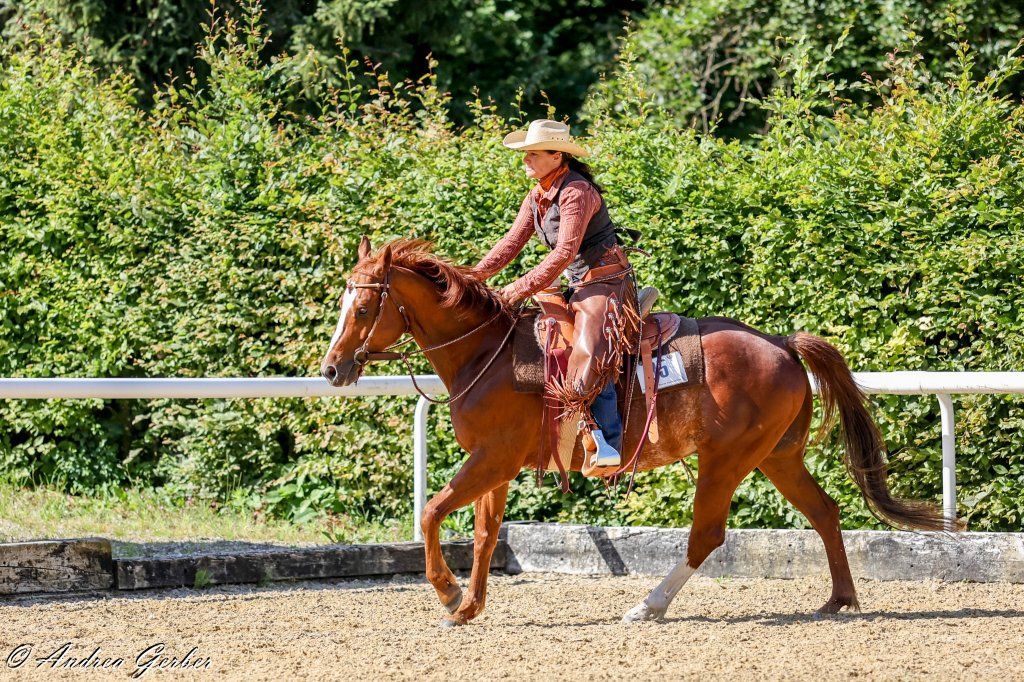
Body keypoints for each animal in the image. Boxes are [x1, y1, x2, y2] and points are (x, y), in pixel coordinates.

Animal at [320, 236, 957, 626]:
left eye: (362, 309)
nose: (332, 369)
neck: (487, 353)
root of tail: (780, 343)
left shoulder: (492, 459)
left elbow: (432, 512)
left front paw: (449, 592)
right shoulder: (492, 465)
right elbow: (481, 534)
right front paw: (468, 605)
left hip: (726, 460)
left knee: (707, 535)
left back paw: (647, 607)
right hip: (777, 456)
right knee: (824, 510)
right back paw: (840, 599)